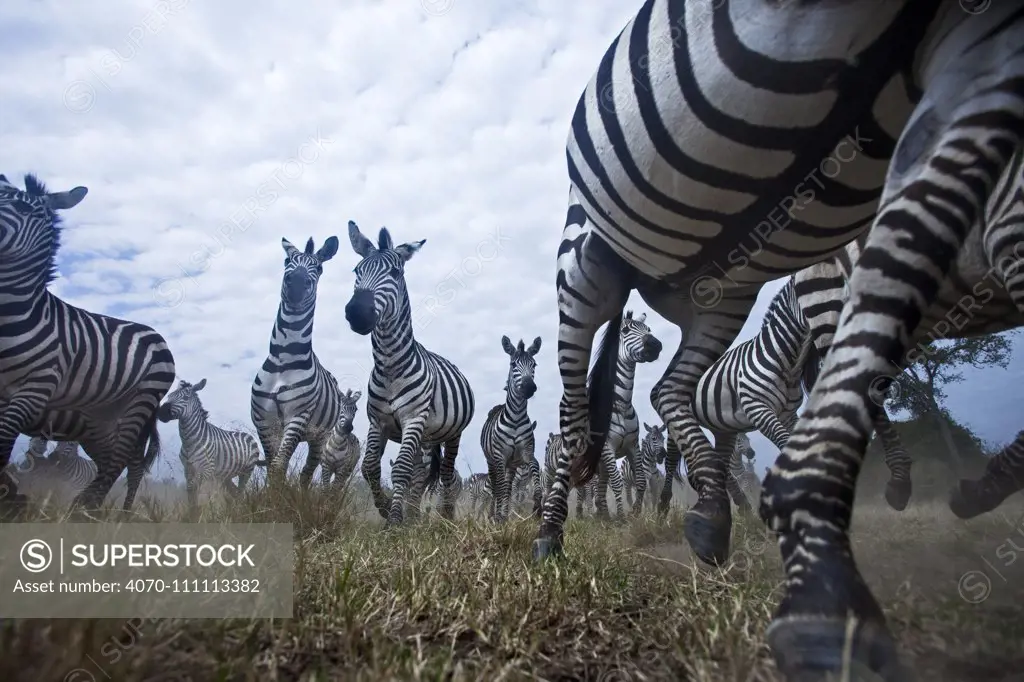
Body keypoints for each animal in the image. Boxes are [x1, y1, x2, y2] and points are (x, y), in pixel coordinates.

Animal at [0, 173, 173, 507]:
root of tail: (154, 332)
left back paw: (95, 510)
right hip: (99, 420)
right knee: (113, 459)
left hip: (138, 405)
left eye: (23, 208)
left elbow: (2, 446)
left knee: (125, 462)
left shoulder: (34, 388)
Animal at [249, 235, 346, 489]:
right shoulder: (264, 420)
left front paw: (278, 499)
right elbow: (273, 466)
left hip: (320, 437)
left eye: (319, 267)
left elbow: (278, 465)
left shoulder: (297, 415)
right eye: (287, 261)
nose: (297, 283)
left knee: (307, 471)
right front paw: (271, 497)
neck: (284, 358)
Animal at [342, 220, 473, 522]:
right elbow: (370, 466)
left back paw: (444, 517)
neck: (390, 365)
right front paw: (386, 506)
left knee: (446, 474)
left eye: (395, 272)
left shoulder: (413, 418)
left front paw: (393, 519)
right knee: (420, 473)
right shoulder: (378, 421)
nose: (357, 312)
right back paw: (413, 517)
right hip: (424, 437)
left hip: (451, 435)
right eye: (356, 271)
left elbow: (401, 470)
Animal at [536, 2, 1024, 675]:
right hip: (587, 265)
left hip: (723, 287)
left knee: (673, 398)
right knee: (577, 409)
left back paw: (713, 515)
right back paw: (552, 534)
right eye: (638, 335)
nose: (651, 344)